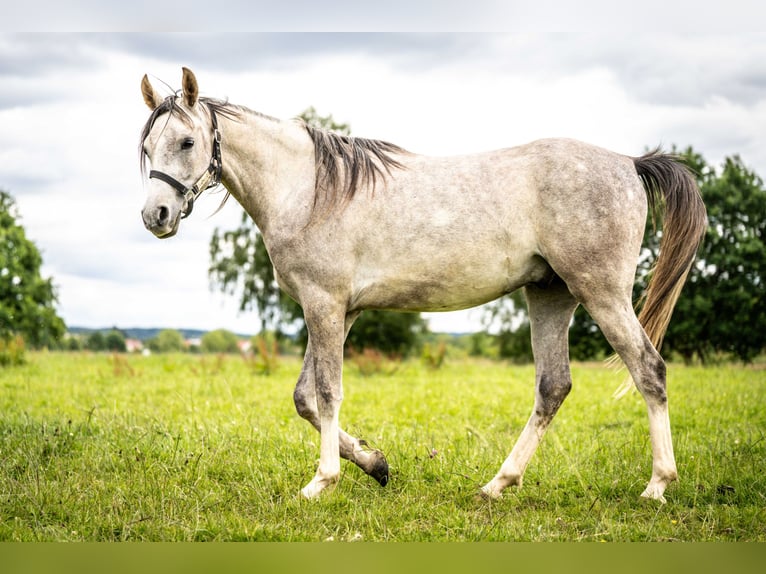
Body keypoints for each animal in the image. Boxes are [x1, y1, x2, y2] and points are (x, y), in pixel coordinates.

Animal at [138, 68, 708, 504]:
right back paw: (497, 484)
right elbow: (305, 398)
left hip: (602, 293)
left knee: (649, 370)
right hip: (551, 294)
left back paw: (657, 485)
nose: (155, 216)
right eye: (146, 146)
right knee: (554, 387)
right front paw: (376, 464)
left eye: (187, 142)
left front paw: (322, 482)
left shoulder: (325, 306)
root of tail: (629, 164)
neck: (308, 189)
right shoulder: (341, 311)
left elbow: (326, 392)